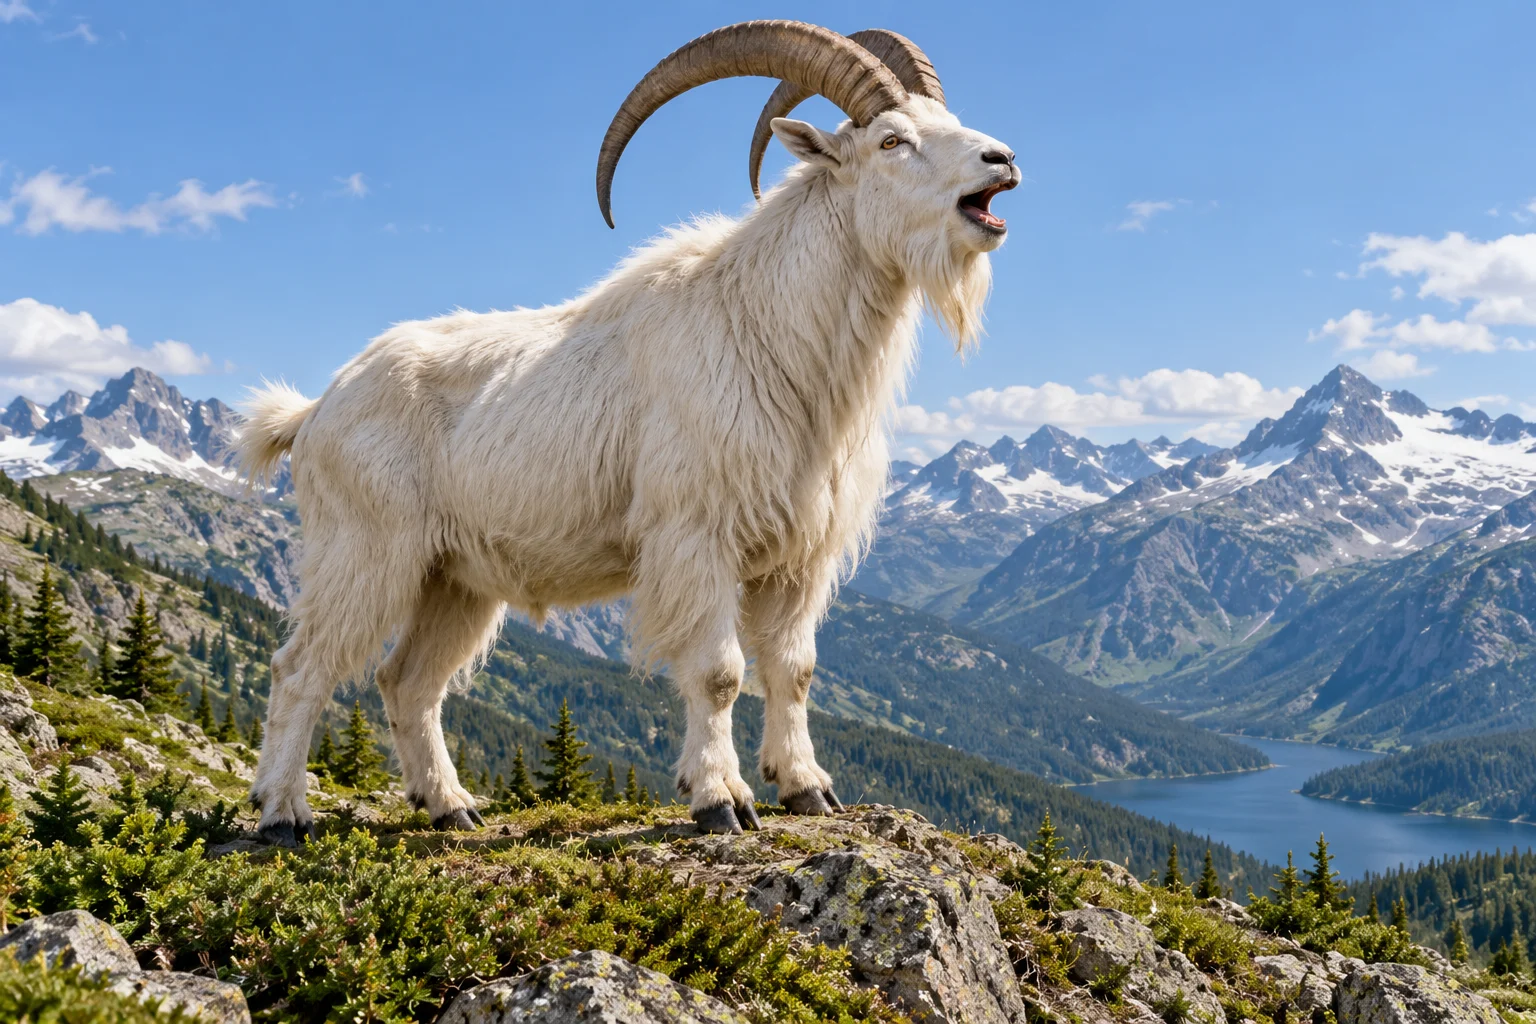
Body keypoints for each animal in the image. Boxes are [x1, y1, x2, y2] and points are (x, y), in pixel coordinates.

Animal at [240, 20, 1018, 842]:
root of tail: (314, 411)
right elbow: (719, 673)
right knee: (301, 668)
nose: (1003, 161)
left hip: (454, 578)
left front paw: (807, 788)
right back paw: (284, 814)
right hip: (364, 552)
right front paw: (720, 800)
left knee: (408, 681)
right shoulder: (695, 537)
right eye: (891, 140)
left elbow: (794, 669)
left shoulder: (797, 560)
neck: (768, 335)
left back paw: (451, 806)